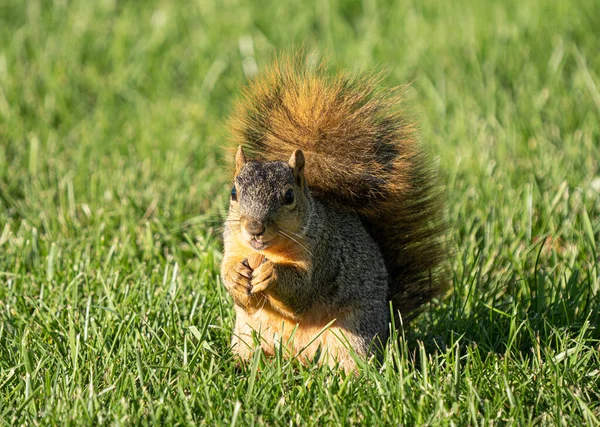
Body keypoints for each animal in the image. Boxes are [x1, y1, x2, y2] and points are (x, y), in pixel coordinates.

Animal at [219, 56, 446, 372]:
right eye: (233, 193)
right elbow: (238, 291)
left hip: (351, 336)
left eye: (289, 196)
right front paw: (236, 276)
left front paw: (272, 273)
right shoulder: (232, 245)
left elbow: (303, 290)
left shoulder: (323, 253)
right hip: (248, 334)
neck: (264, 251)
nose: (254, 228)